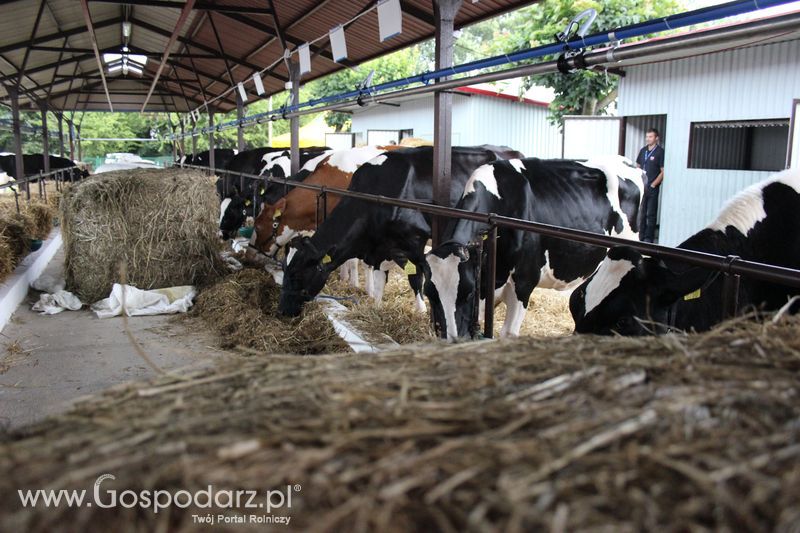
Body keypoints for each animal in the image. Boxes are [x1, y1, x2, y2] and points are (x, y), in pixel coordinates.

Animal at [276, 145, 524, 316]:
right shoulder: (378, 247)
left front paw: (422, 310)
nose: (281, 311)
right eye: (284, 269)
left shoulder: (415, 242)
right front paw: (376, 306)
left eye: (296, 274)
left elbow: (416, 276)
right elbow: (379, 280)